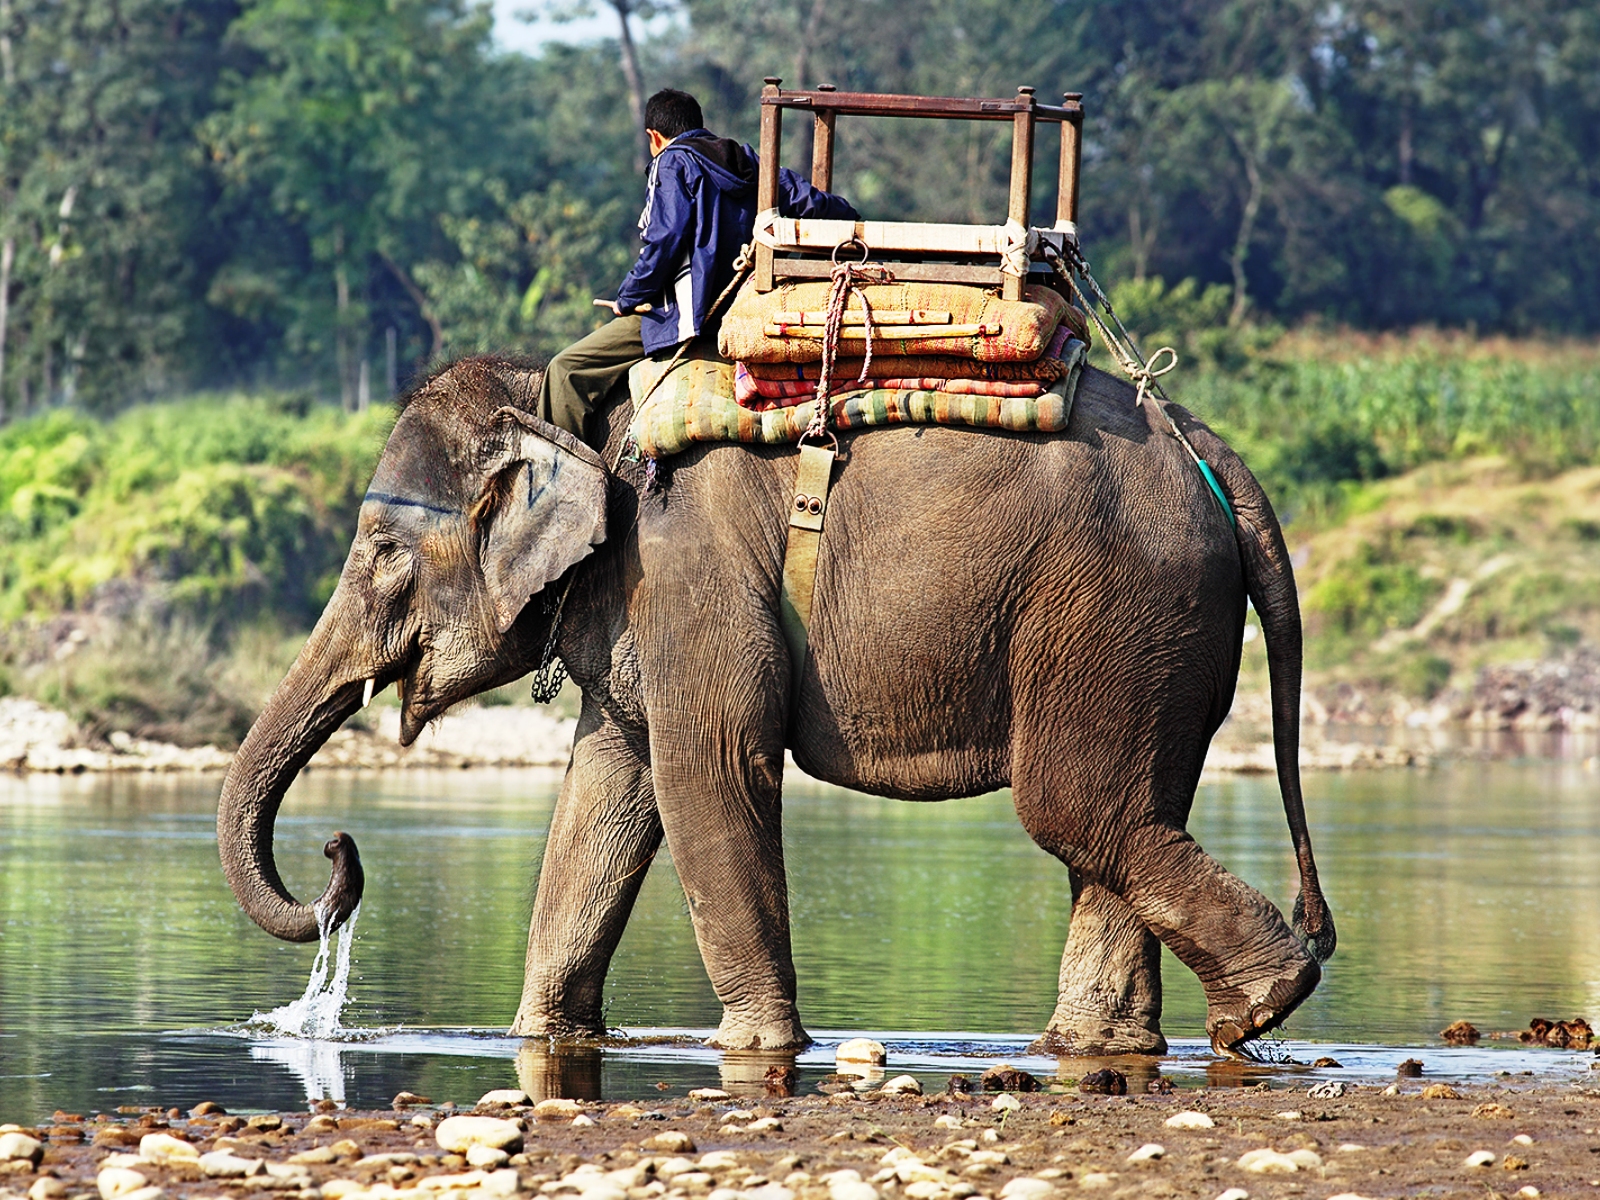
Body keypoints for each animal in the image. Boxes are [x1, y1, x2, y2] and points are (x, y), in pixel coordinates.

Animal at [212, 355, 1337, 1062]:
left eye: (381, 552)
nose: (337, 848)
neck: (569, 408)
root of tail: (1206, 447)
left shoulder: (685, 569)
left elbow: (706, 770)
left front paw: (754, 1049)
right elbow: (610, 795)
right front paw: (541, 1039)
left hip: (1119, 602)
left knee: (1074, 806)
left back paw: (1257, 1010)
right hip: (1156, 632)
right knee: (1122, 810)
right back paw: (1105, 1043)